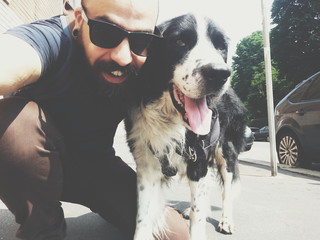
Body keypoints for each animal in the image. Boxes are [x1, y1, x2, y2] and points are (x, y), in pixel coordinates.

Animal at [125, 13, 248, 240]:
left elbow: (197, 217)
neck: (170, 120)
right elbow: (143, 216)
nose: (220, 74)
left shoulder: (199, 159)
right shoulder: (146, 165)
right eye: (179, 42)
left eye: (220, 47)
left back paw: (226, 221)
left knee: (227, 189)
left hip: (225, 151)